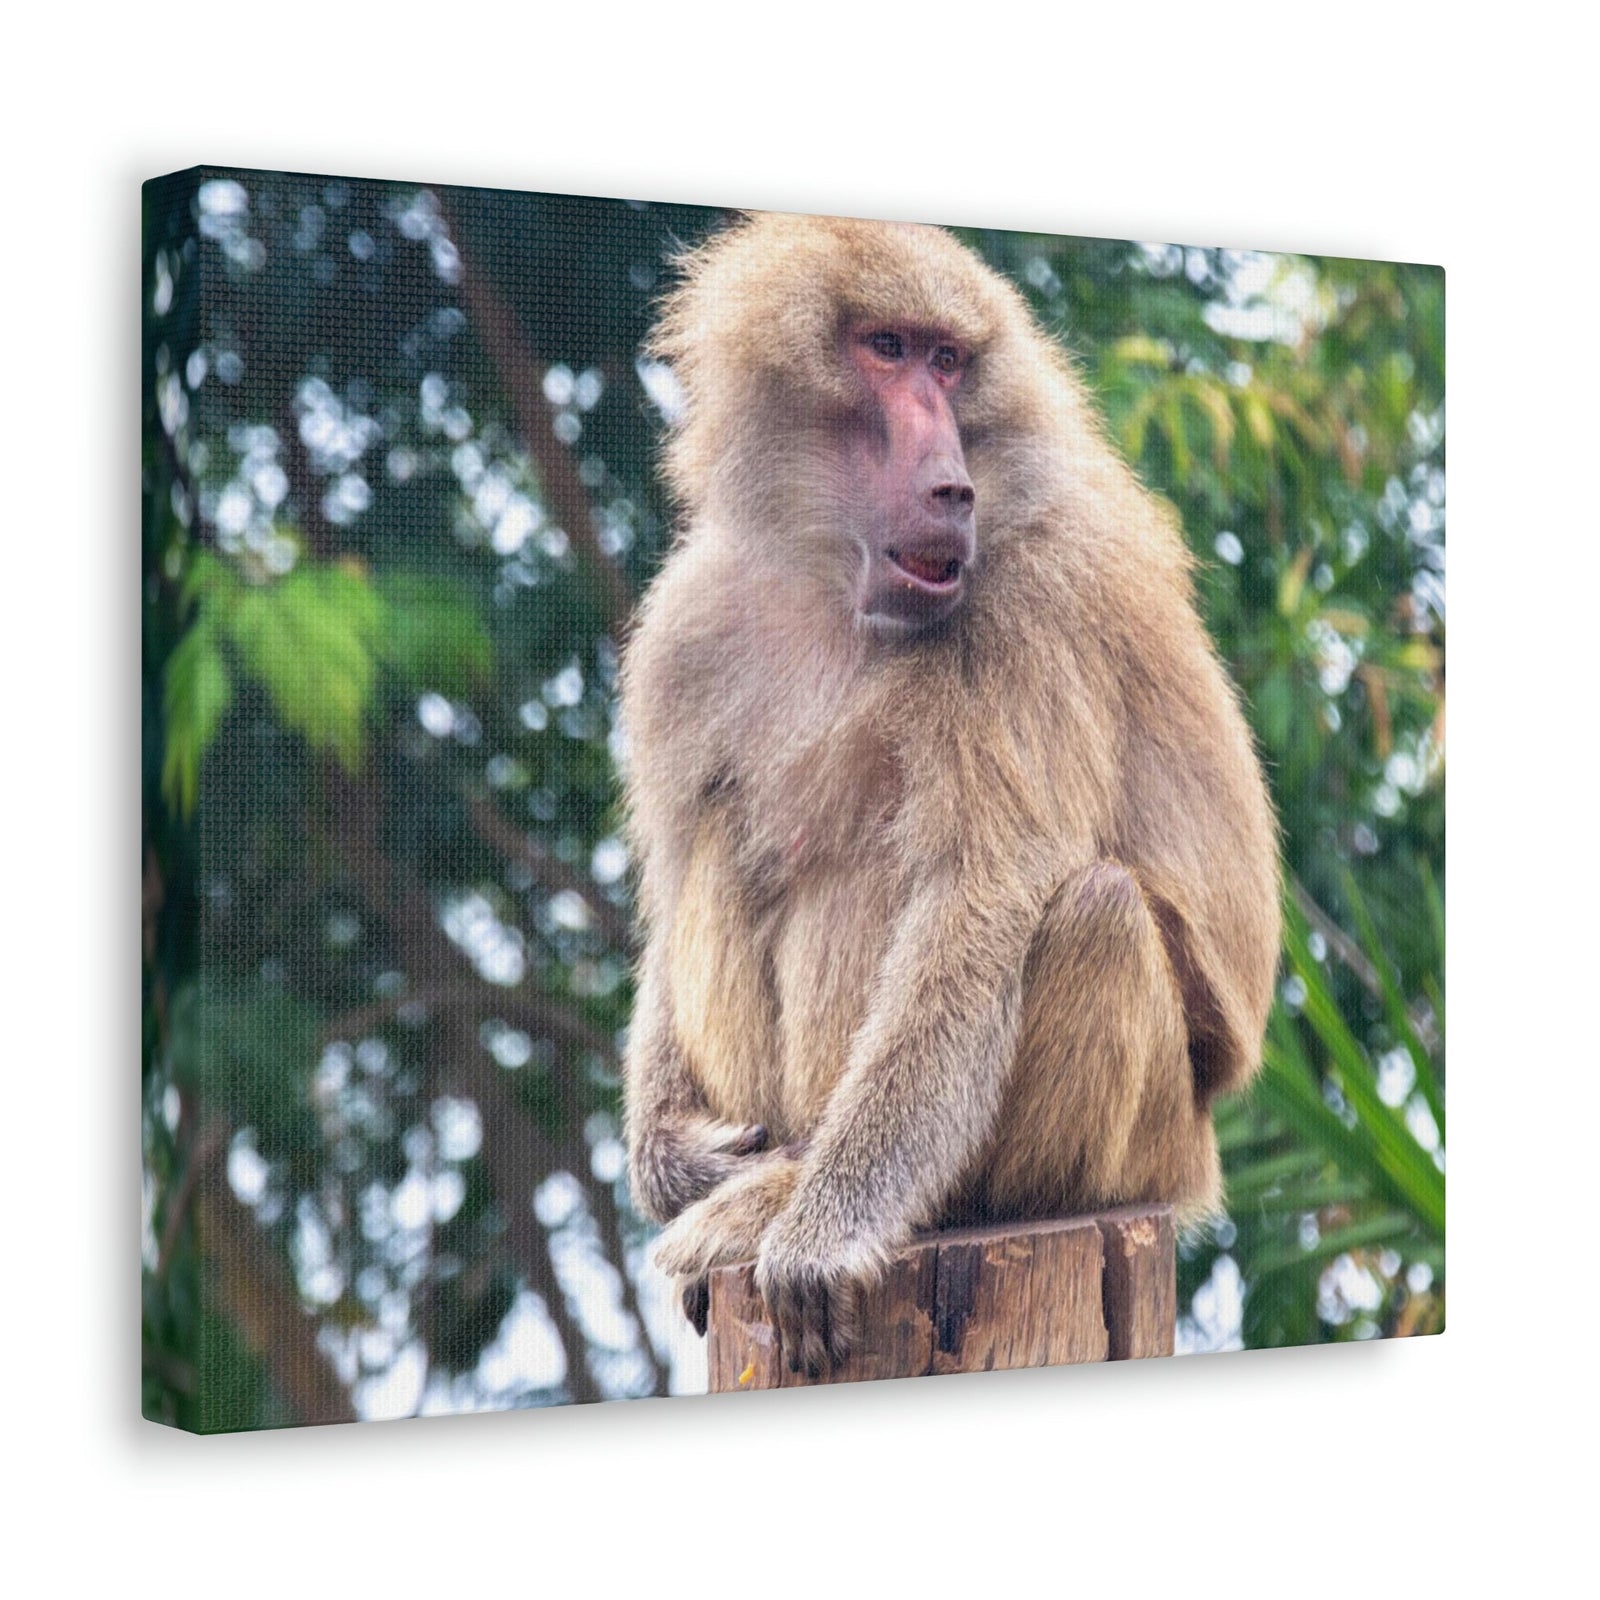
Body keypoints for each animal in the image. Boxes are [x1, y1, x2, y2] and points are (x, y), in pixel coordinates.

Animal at [618, 213, 1280, 1378]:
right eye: (886, 348)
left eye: (949, 361)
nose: (950, 487)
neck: (833, 581)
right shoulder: (688, 623)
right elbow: (671, 880)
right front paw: (674, 1157)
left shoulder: (1031, 605)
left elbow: (977, 897)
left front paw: (823, 1233)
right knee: (725, 841)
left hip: (1148, 1145)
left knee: (1090, 909)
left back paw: (805, 1201)